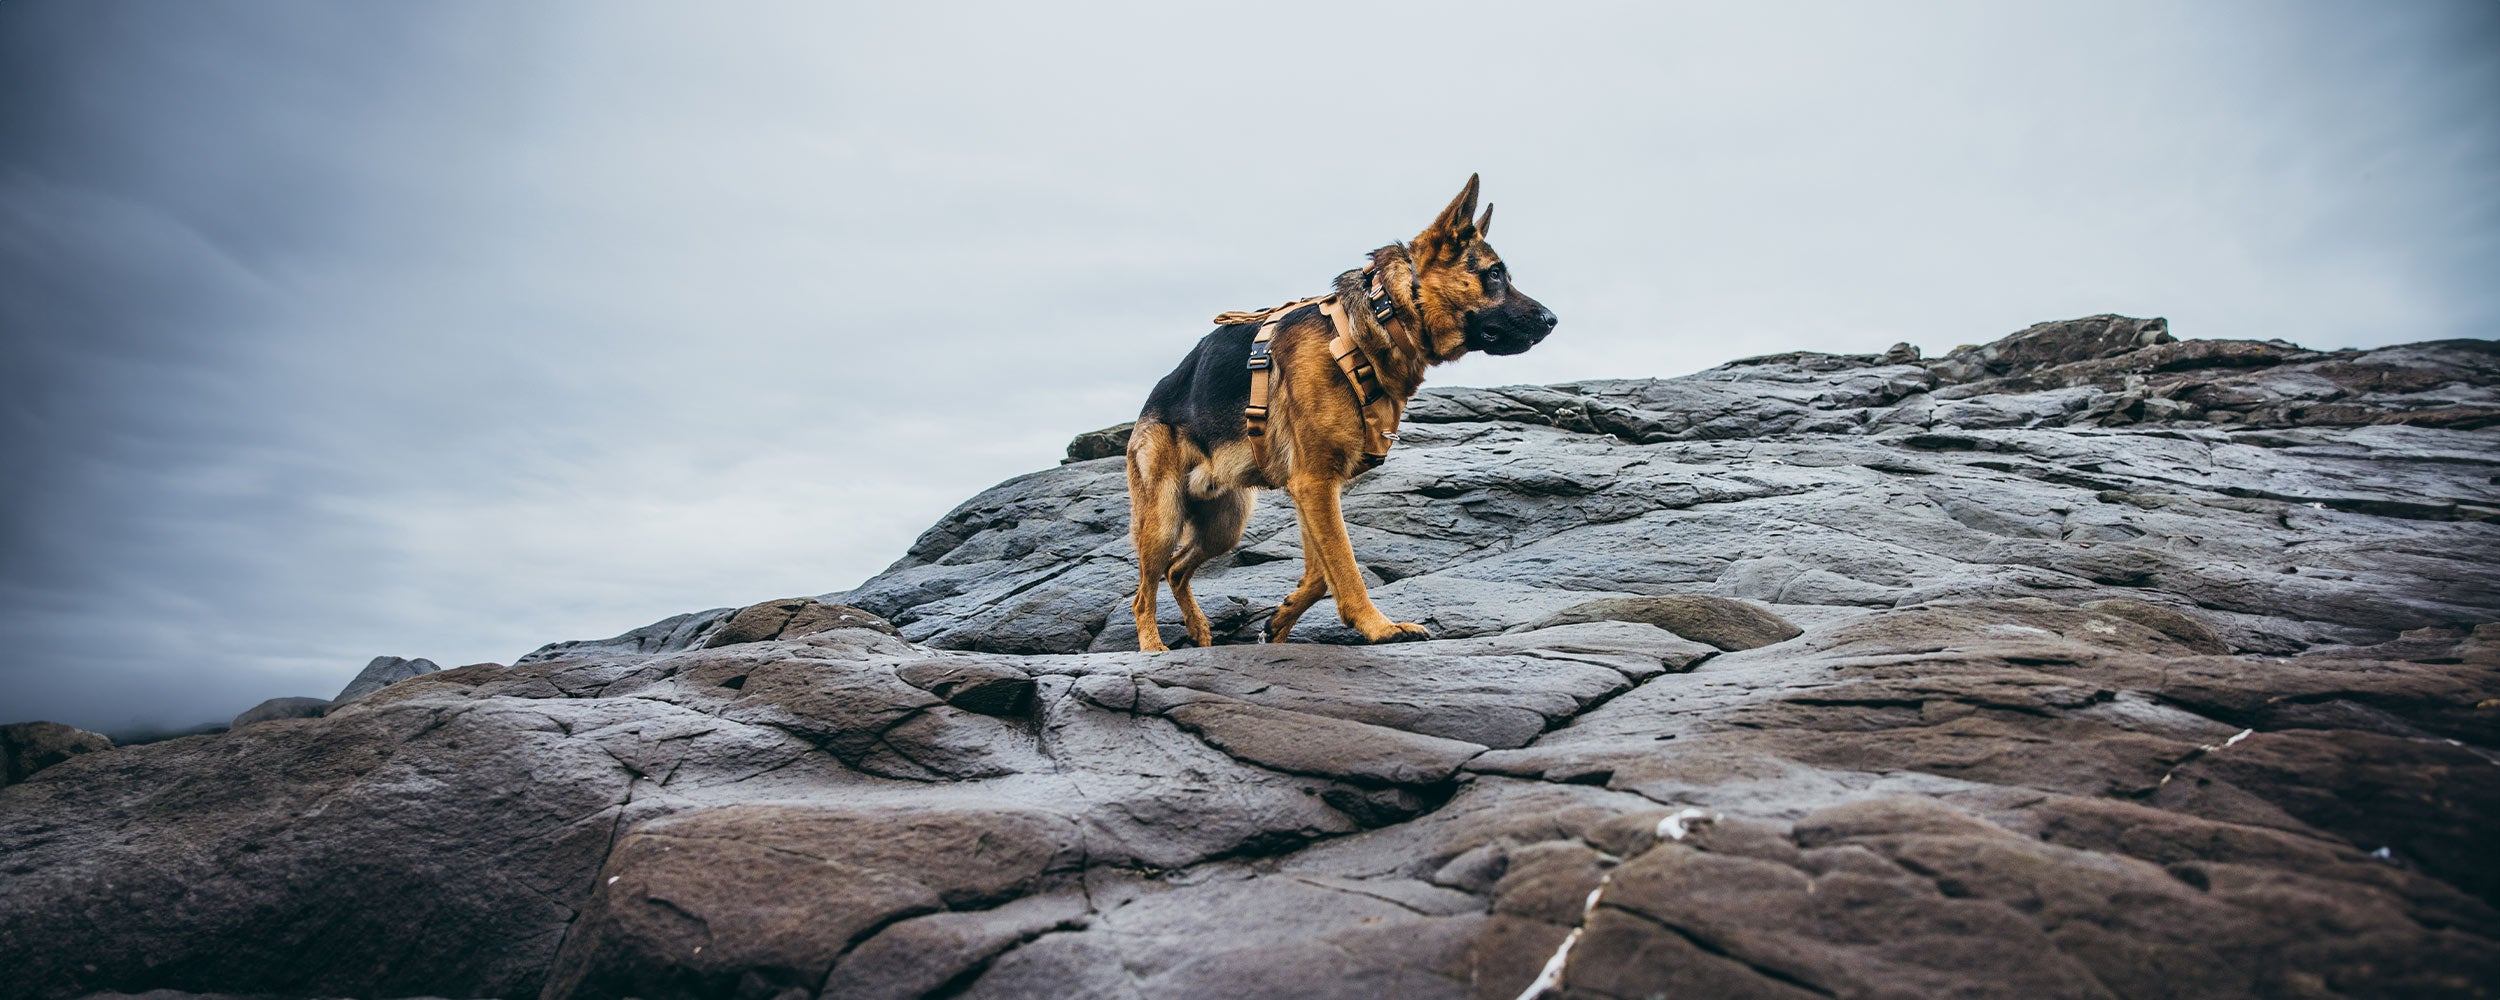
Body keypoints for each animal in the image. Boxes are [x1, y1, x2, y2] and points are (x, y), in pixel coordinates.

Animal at [1125, 176, 1550, 650]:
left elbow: (1320, 572)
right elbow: (1345, 567)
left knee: (1177, 569)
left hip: (1225, 524)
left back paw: (1199, 630)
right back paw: (1153, 646)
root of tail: (1150, 402)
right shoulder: (1313, 482)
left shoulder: (1315, 488)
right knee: (1143, 592)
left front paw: (1280, 621)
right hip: (1163, 519)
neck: (1384, 315)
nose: (1552, 319)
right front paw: (1379, 628)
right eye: (1494, 274)